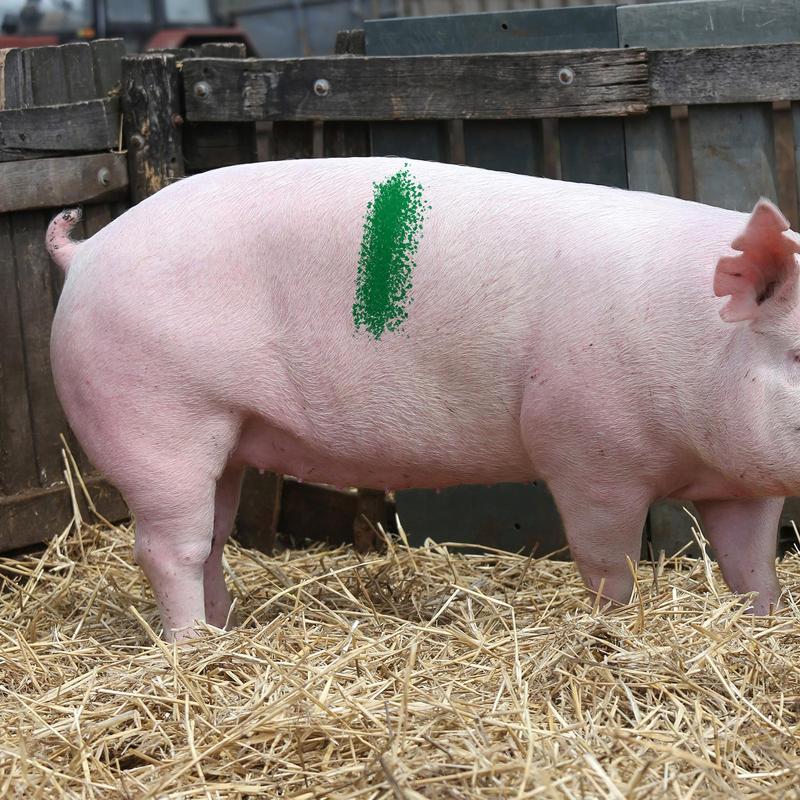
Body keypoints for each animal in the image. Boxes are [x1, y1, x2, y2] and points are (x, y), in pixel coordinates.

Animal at [47, 157, 799, 641]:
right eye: (797, 354)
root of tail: (86, 253)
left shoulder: (744, 483)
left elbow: (753, 567)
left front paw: (762, 628)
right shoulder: (585, 450)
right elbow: (608, 567)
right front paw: (613, 633)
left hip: (226, 434)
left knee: (210, 539)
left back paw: (228, 629)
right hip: (157, 417)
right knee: (167, 546)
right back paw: (194, 648)